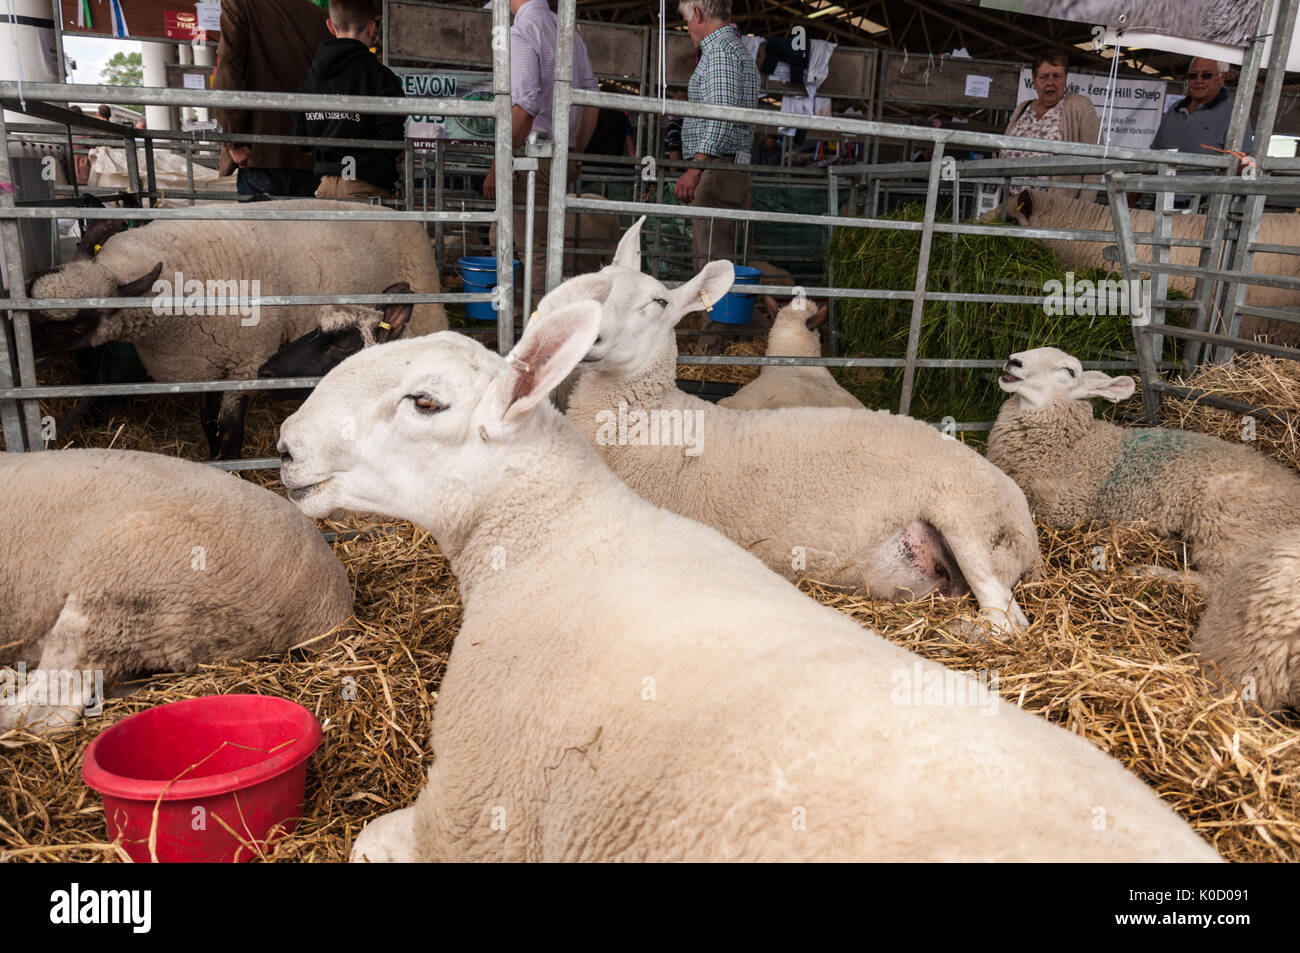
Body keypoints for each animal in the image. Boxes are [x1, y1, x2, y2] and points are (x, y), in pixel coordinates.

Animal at [27, 199, 447, 459]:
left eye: (78, 322)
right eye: (29, 285)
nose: (23, 350)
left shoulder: (246, 361)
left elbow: (230, 429)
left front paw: (233, 467)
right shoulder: (201, 363)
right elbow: (207, 422)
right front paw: (216, 459)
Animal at [987, 345, 1300, 710]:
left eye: (1069, 371)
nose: (1014, 361)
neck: (1073, 446)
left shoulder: (1062, 509)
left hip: (1227, 521)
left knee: (1215, 581)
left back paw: (1148, 572)